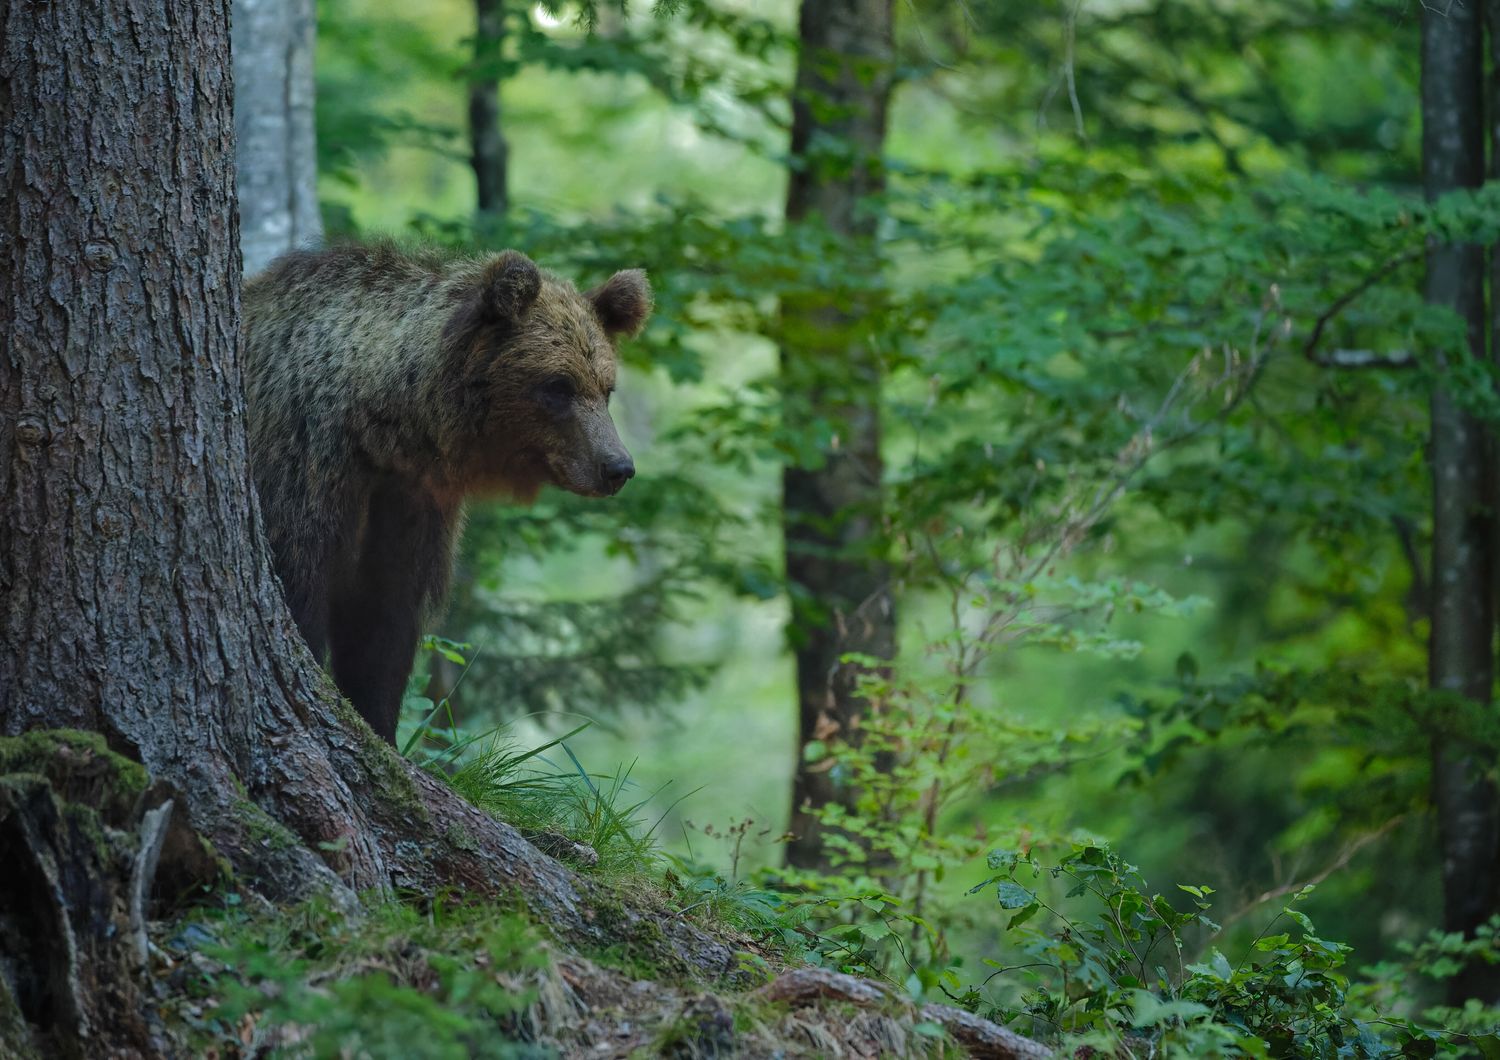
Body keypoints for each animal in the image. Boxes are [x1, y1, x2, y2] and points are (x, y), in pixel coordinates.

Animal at [240, 242, 651, 743]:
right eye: (558, 386)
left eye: (605, 389)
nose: (617, 467)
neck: (378, 424)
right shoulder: (304, 465)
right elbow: (301, 587)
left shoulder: (410, 500)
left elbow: (384, 621)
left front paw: (380, 727)